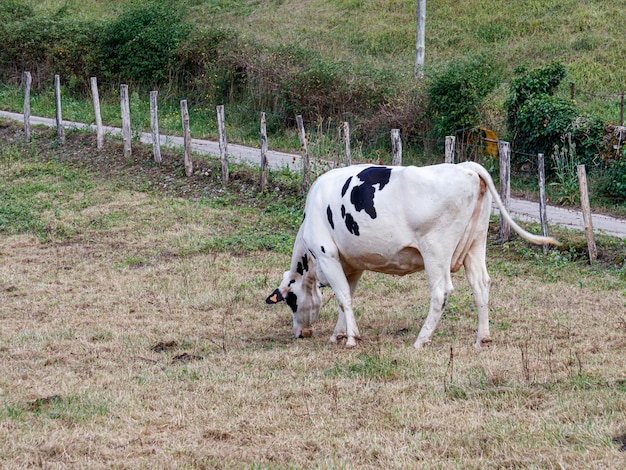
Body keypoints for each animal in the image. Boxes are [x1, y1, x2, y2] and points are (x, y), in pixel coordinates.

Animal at [266, 162, 560, 348]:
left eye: (291, 300)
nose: (300, 333)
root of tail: (465, 166)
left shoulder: (327, 256)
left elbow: (343, 298)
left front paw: (349, 340)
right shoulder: (353, 264)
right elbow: (345, 297)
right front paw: (341, 334)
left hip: (436, 251)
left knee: (441, 292)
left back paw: (421, 339)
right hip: (476, 244)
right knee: (481, 285)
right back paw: (482, 338)